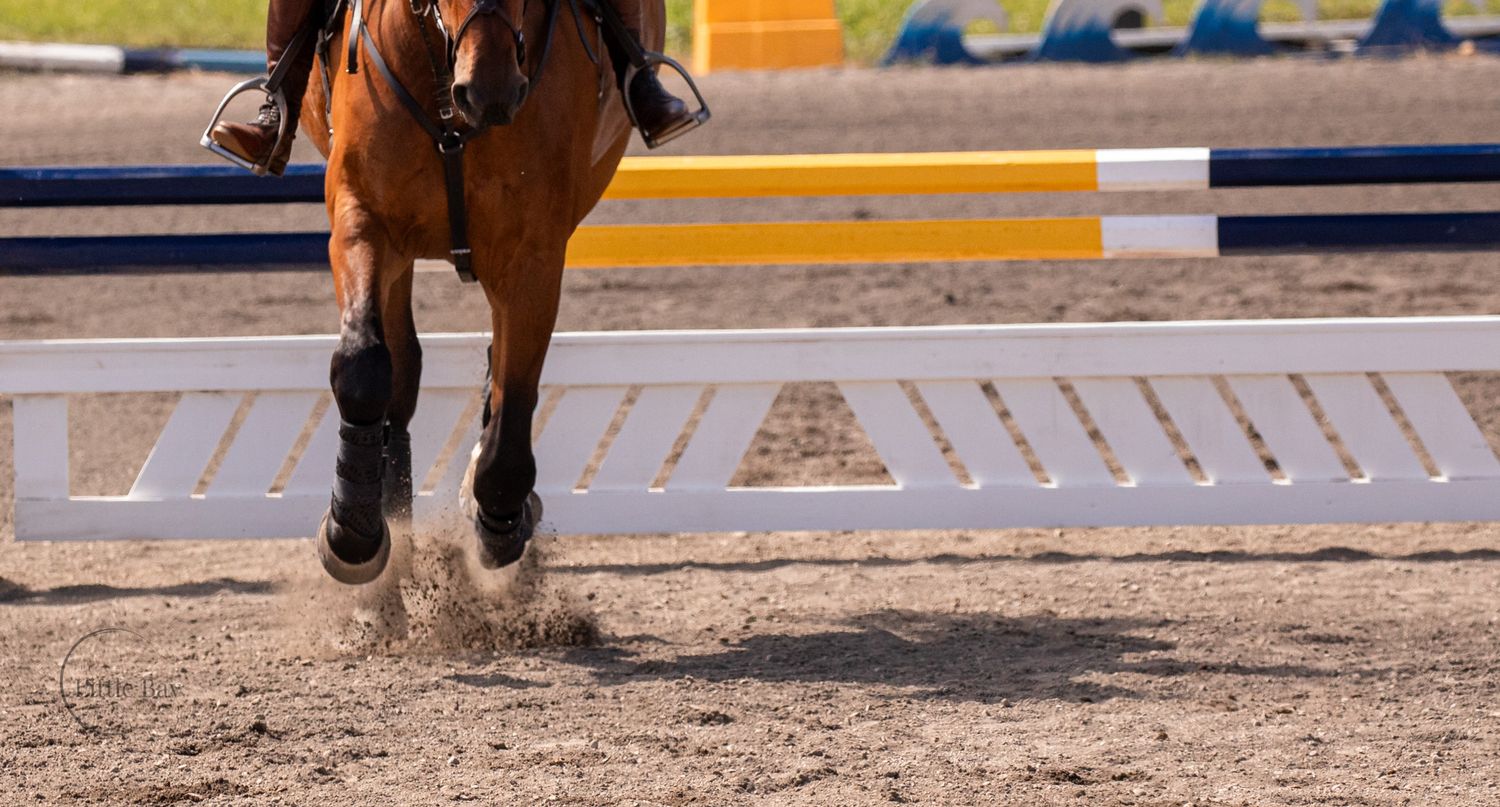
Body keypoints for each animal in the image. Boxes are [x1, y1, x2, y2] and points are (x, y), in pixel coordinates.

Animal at [295, 0, 662, 583]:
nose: (491, 90)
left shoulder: (533, 252)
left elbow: (515, 395)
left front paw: (499, 514)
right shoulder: (362, 218)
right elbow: (363, 365)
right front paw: (352, 531)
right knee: (401, 364)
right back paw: (389, 508)